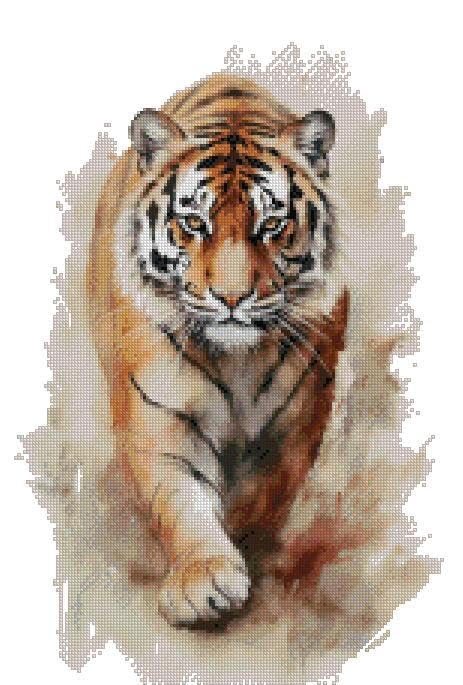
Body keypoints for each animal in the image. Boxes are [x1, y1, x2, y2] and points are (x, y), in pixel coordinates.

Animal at [87, 73, 349, 627]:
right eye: (194, 223)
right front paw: (205, 578)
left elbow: (263, 495)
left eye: (271, 225)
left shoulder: (297, 424)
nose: (231, 298)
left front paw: (243, 532)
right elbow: (183, 502)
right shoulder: (158, 419)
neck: (239, 361)